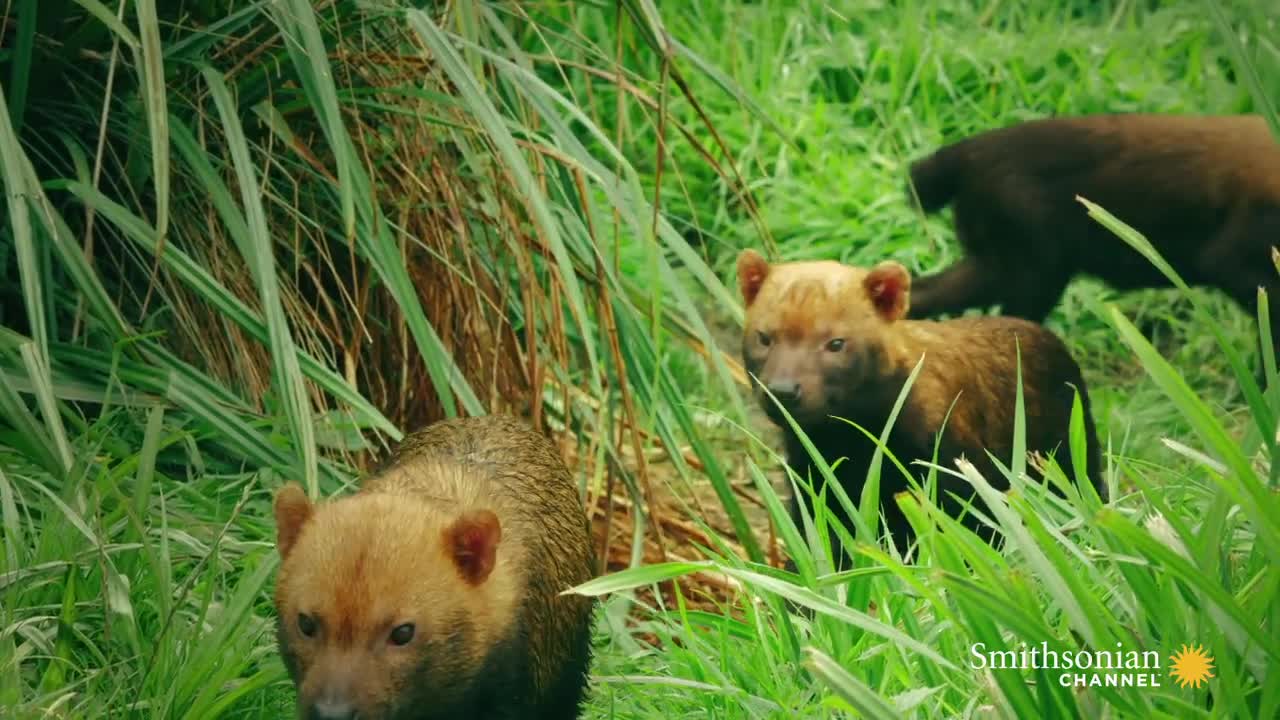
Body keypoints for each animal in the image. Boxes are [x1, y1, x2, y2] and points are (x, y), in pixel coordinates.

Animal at [737, 249, 1105, 558]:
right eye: (764, 337)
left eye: (836, 343)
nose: (783, 390)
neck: (856, 444)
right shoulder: (812, 488)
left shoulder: (959, 490)